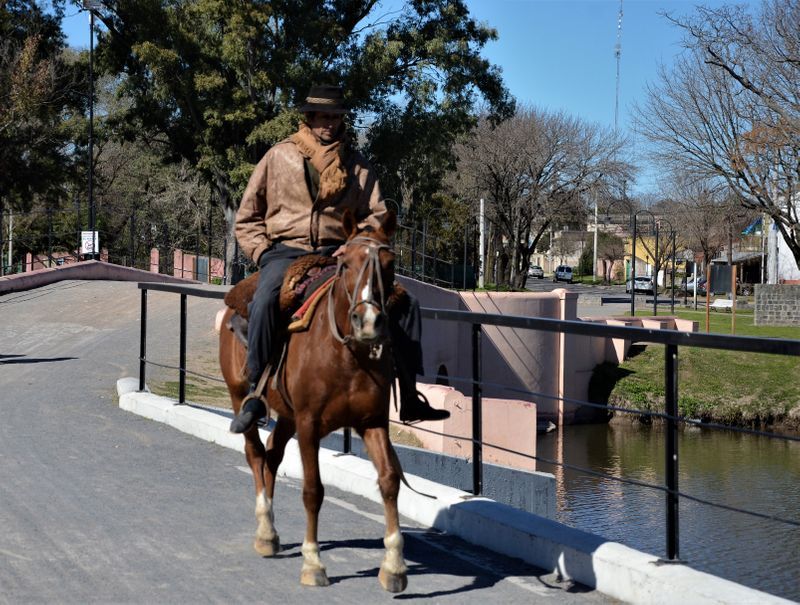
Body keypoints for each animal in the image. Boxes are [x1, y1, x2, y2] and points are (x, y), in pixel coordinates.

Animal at [219, 210, 410, 592]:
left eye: (389, 263)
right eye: (346, 263)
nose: (369, 321)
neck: (347, 354)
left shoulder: (372, 423)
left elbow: (389, 481)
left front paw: (394, 567)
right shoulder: (309, 425)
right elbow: (312, 491)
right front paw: (313, 563)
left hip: (287, 415)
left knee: (272, 456)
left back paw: (270, 534)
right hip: (239, 396)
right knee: (255, 454)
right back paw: (265, 528)